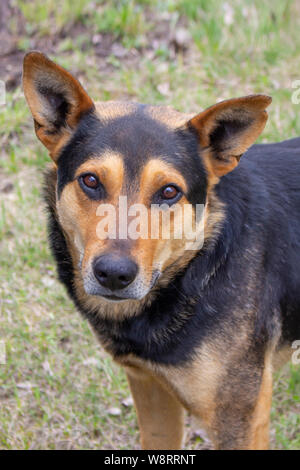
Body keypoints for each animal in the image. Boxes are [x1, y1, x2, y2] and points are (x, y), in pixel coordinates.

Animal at [21, 50, 300, 448]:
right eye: (90, 181)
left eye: (169, 191)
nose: (113, 275)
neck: (197, 266)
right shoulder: (150, 386)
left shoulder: (242, 418)